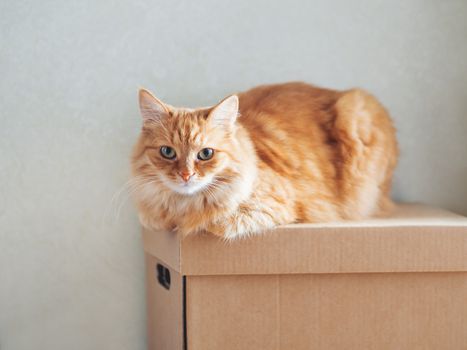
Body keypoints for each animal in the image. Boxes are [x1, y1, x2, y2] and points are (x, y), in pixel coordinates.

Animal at [132, 83, 398, 239]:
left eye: (205, 154)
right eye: (167, 152)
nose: (186, 175)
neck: (182, 206)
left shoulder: (270, 207)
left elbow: (213, 223)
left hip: (355, 115)